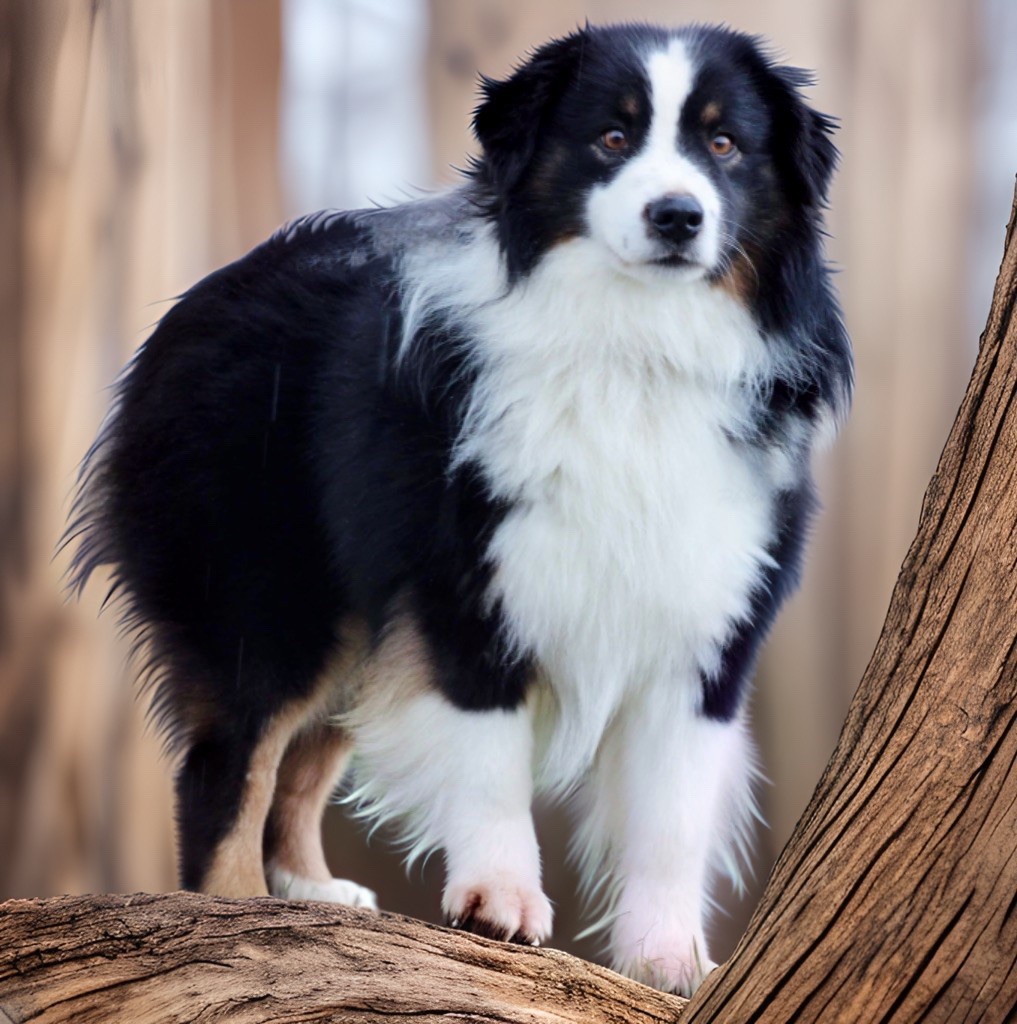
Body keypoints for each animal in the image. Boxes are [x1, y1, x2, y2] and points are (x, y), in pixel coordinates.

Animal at [67, 22, 852, 991]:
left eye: (724, 144)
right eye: (610, 137)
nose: (677, 216)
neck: (634, 343)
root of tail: (200, 297)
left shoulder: (710, 619)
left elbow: (670, 810)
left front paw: (668, 957)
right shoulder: (468, 589)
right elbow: (489, 762)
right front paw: (500, 902)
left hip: (355, 621)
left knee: (304, 758)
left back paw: (311, 895)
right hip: (273, 600)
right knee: (230, 764)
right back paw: (237, 911)